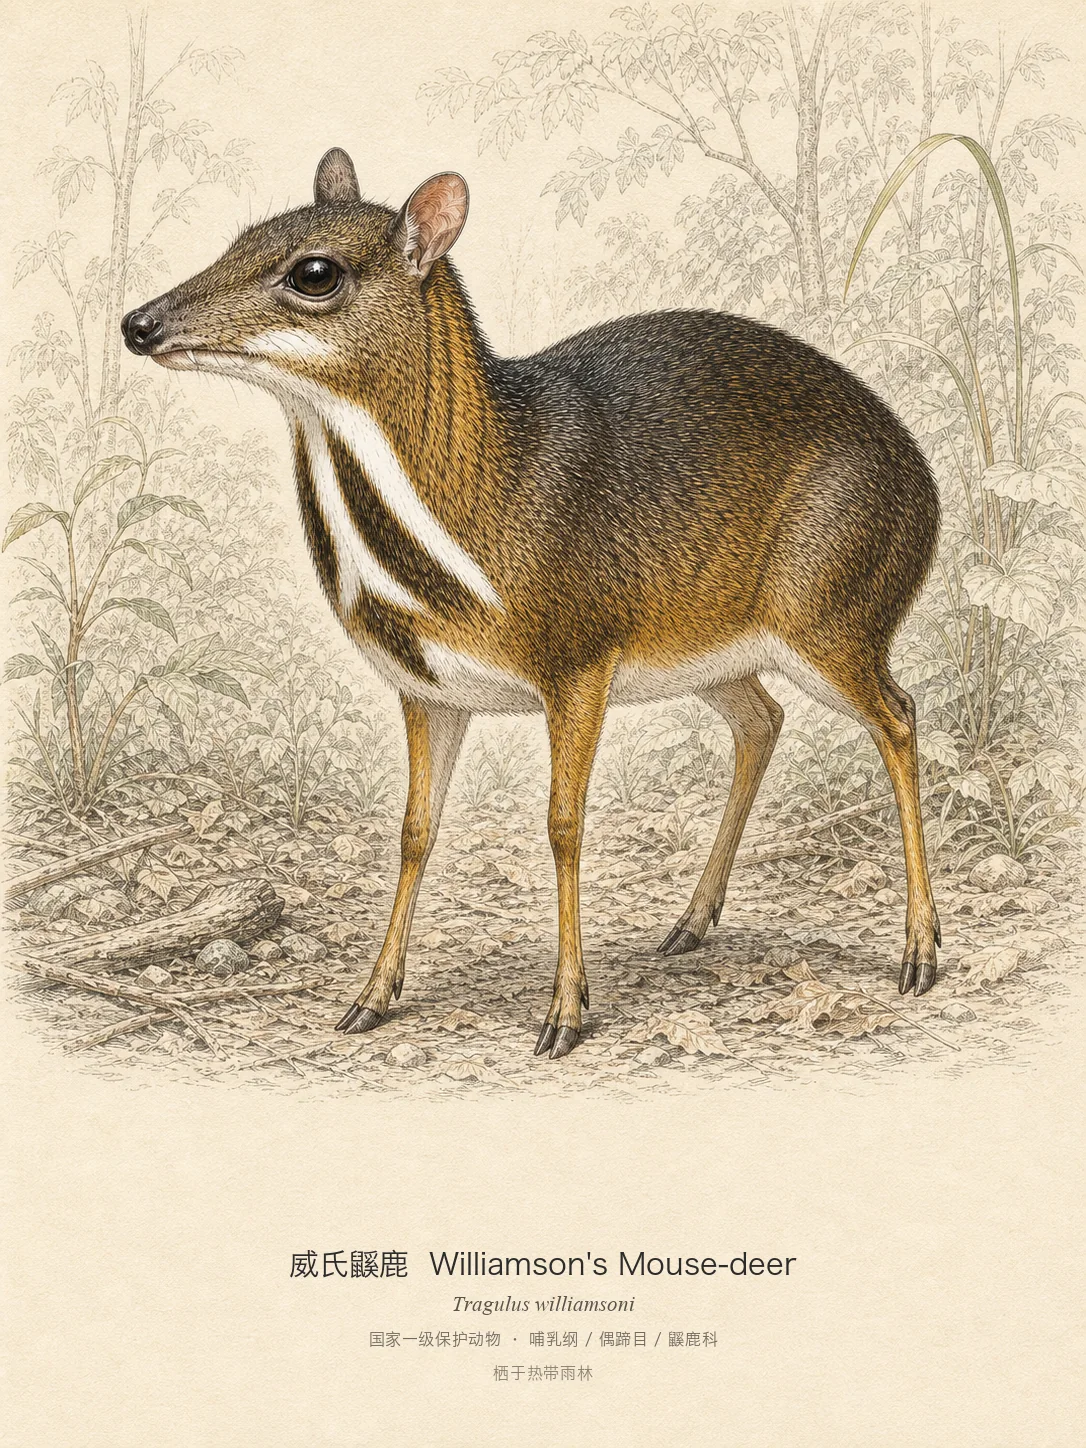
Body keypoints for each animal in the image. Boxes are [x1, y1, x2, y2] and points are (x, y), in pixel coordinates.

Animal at [122, 147, 941, 1060]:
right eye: (240, 238)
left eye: (314, 273)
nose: (140, 324)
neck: (475, 509)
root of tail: (926, 482)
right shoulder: (425, 689)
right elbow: (414, 830)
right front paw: (371, 996)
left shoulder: (578, 661)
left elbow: (562, 824)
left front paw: (566, 1012)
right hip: (712, 648)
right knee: (763, 722)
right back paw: (691, 922)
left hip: (832, 616)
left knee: (898, 716)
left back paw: (920, 953)